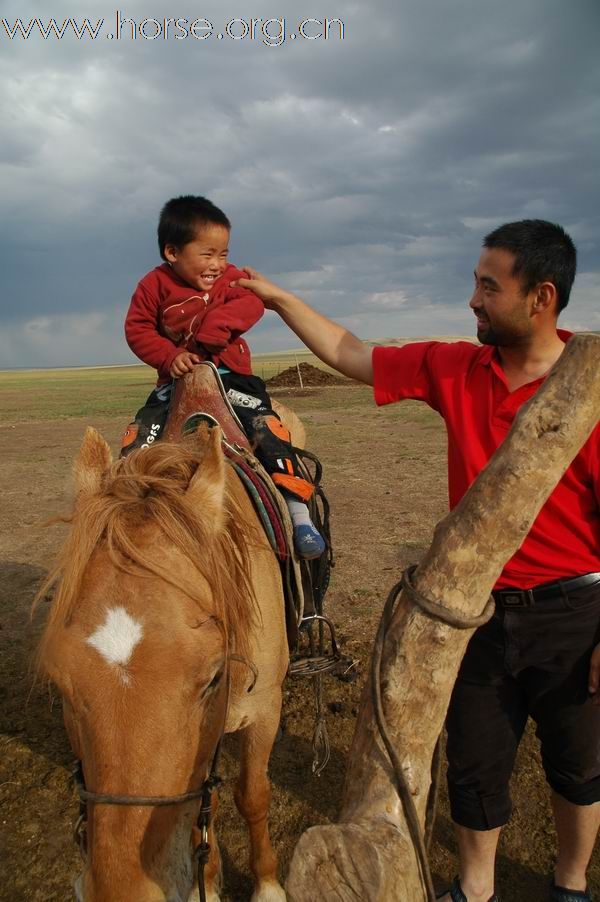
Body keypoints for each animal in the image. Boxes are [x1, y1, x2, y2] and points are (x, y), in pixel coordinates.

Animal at [36, 426, 292, 902]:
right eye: (60, 684)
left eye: (214, 677)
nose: (124, 891)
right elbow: (203, 812)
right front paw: (205, 882)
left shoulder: (265, 709)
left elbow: (253, 796)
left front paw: (267, 885)